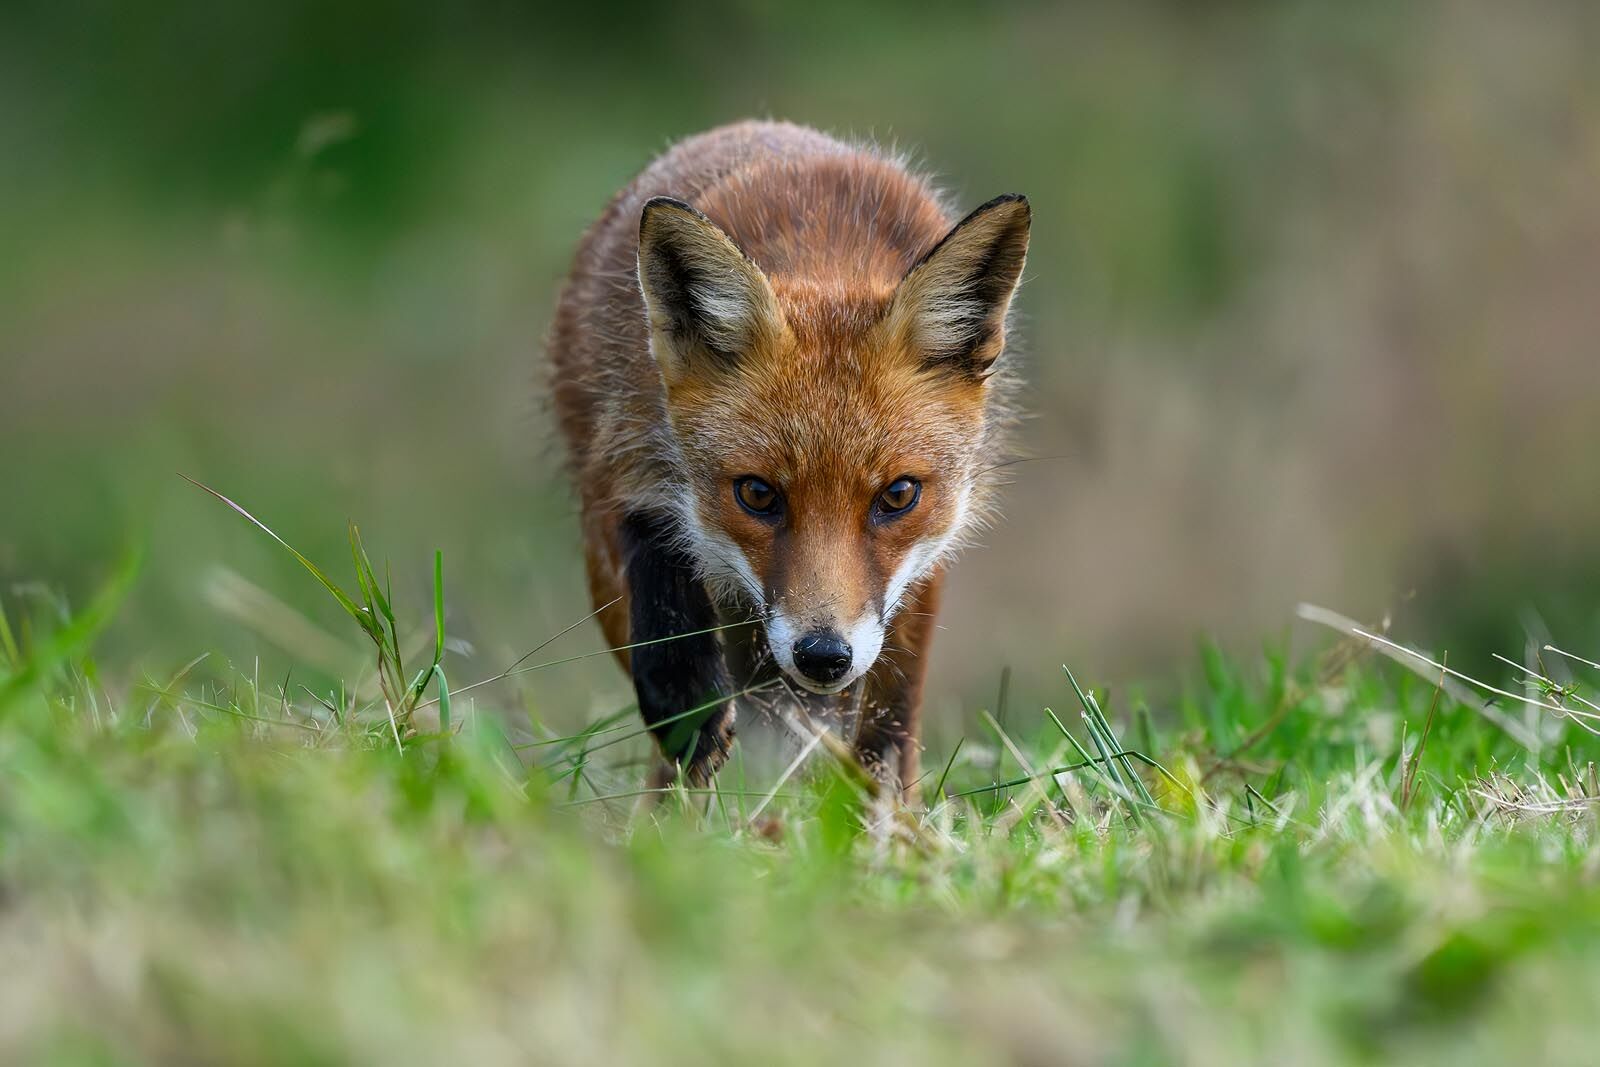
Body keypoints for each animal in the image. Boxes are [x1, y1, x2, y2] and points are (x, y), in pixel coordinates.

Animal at [548, 120, 1029, 800]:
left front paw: (878, 820)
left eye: (898, 495)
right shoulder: (619, 462)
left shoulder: (922, 573)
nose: (822, 656)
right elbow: (655, 559)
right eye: (756, 494)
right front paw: (688, 704)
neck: (827, 252)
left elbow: (888, 731)